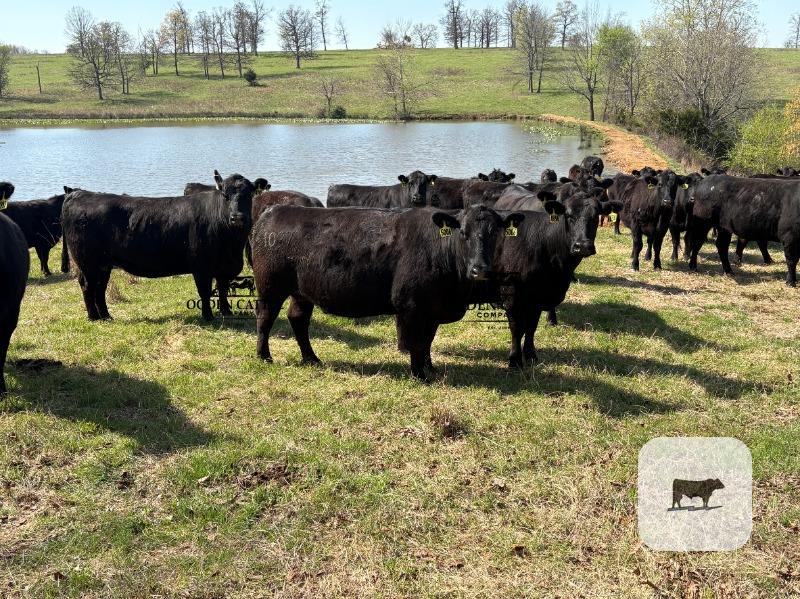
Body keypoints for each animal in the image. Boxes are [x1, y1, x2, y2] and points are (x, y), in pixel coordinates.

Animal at [62, 171, 257, 321]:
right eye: (225, 196)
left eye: (249, 195)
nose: (237, 217)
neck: (232, 246)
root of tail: (79, 194)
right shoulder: (201, 266)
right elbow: (205, 291)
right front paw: (208, 316)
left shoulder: (224, 266)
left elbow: (223, 289)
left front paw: (226, 311)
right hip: (88, 263)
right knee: (88, 286)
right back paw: (93, 317)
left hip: (103, 265)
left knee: (100, 288)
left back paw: (106, 316)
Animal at [250, 204, 523, 380]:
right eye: (463, 233)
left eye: (496, 234)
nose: (480, 269)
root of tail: (272, 211)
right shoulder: (411, 306)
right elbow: (415, 342)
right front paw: (418, 375)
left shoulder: (433, 310)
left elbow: (428, 340)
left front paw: (430, 368)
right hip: (270, 287)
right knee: (265, 318)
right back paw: (264, 356)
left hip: (301, 292)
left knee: (298, 319)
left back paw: (311, 358)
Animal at [471, 191, 620, 368]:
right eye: (568, 215)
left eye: (596, 217)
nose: (582, 246)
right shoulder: (512, 295)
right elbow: (516, 328)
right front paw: (515, 359)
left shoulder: (539, 297)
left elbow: (531, 327)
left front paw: (530, 355)